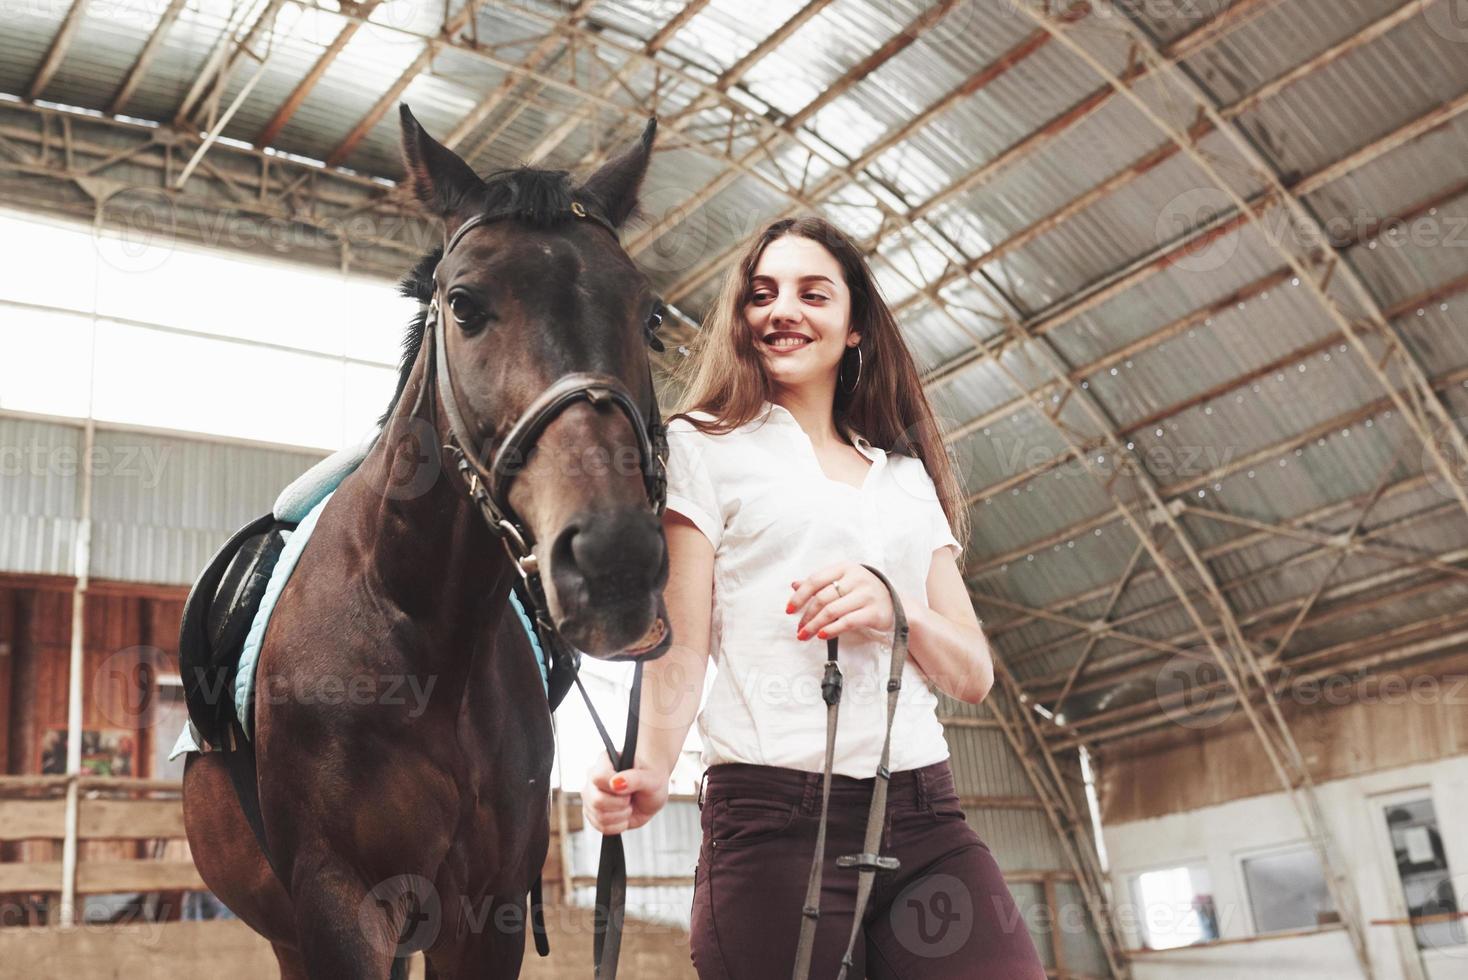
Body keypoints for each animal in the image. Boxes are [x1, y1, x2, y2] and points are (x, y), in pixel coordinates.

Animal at [179, 107, 675, 979]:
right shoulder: (338, 908)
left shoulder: (489, 915)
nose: (615, 559)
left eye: (649, 315)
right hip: (290, 933)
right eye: (465, 304)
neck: (419, 633)